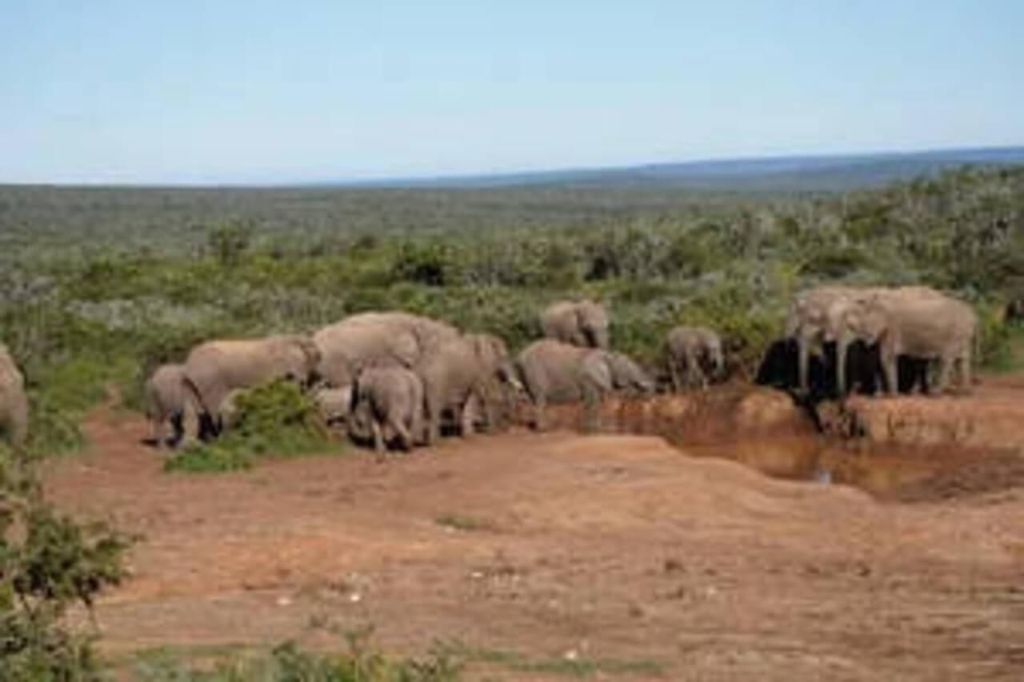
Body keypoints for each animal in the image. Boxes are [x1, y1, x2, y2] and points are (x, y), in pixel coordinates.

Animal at [182, 334, 321, 440]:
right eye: (313, 357)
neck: (291, 339)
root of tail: (189, 363)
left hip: (193, 384)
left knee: (197, 413)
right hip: (210, 381)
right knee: (214, 411)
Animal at [515, 339, 654, 430]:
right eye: (628, 367)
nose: (650, 387)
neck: (607, 355)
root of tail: (519, 356)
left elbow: (597, 401)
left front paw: (597, 427)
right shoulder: (588, 378)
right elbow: (592, 402)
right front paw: (593, 428)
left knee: (530, 399)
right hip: (534, 372)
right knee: (540, 399)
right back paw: (543, 429)